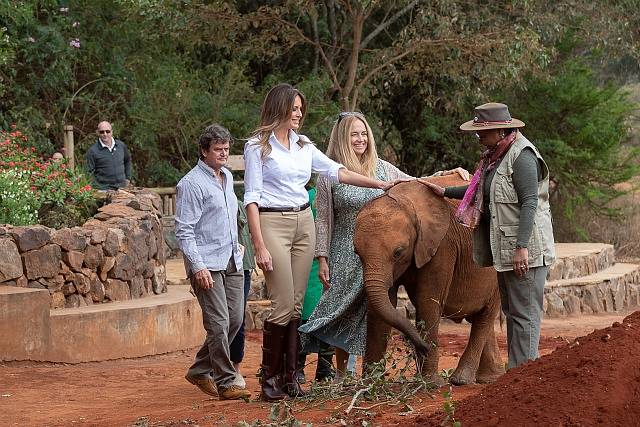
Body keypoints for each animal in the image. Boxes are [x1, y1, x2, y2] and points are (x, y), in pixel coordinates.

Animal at [352, 176, 502, 386]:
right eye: (357, 253)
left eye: (398, 252)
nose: (423, 347)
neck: (407, 202)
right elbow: (382, 306)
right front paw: (370, 385)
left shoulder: (442, 245)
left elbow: (427, 302)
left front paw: (431, 384)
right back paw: (489, 379)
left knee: (485, 317)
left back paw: (461, 380)